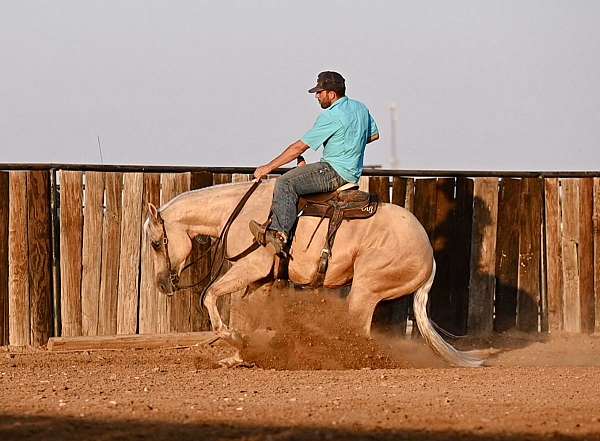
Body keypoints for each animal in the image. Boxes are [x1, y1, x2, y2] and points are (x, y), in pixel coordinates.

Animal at [144, 179, 482, 368]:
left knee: (359, 330)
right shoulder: (258, 280)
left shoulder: (250, 268)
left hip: (365, 289)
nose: (161, 284)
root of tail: (429, 255)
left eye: (156, 243)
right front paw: (238, 355)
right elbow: (242, 314)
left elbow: (210, 295)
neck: (238, 212)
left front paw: (230, 338)